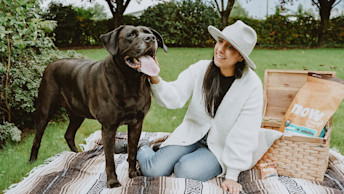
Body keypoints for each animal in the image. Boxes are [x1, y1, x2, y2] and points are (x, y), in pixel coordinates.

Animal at [30, 25, 167, 188]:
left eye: (151, 33)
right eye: (131, 35)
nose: (151, 39)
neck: (131, 81)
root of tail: (51, 63)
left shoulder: (136, 123)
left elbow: (133, 151)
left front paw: (133, 174)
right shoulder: (109, 127)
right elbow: (110, 159)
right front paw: (113, 182)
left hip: (77, 114)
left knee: (68, 134)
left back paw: (77, 154)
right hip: (45, 110)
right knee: (37, 138)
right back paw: (32, 162)